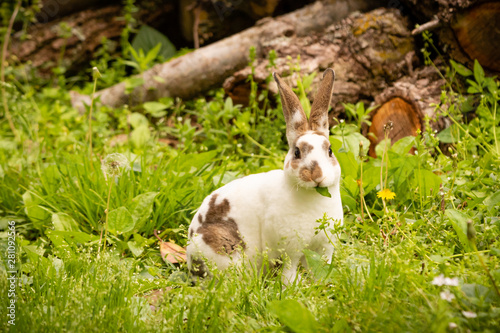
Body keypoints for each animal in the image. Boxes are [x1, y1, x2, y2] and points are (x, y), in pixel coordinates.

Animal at [186, 68, 342, 282]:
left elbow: (322, 264)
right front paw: (292, 284)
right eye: (297, 152)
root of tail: (190, 260)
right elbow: (290, 268)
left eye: (330, 151)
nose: (316, 175)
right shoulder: (290, 248)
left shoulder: (325, 246)